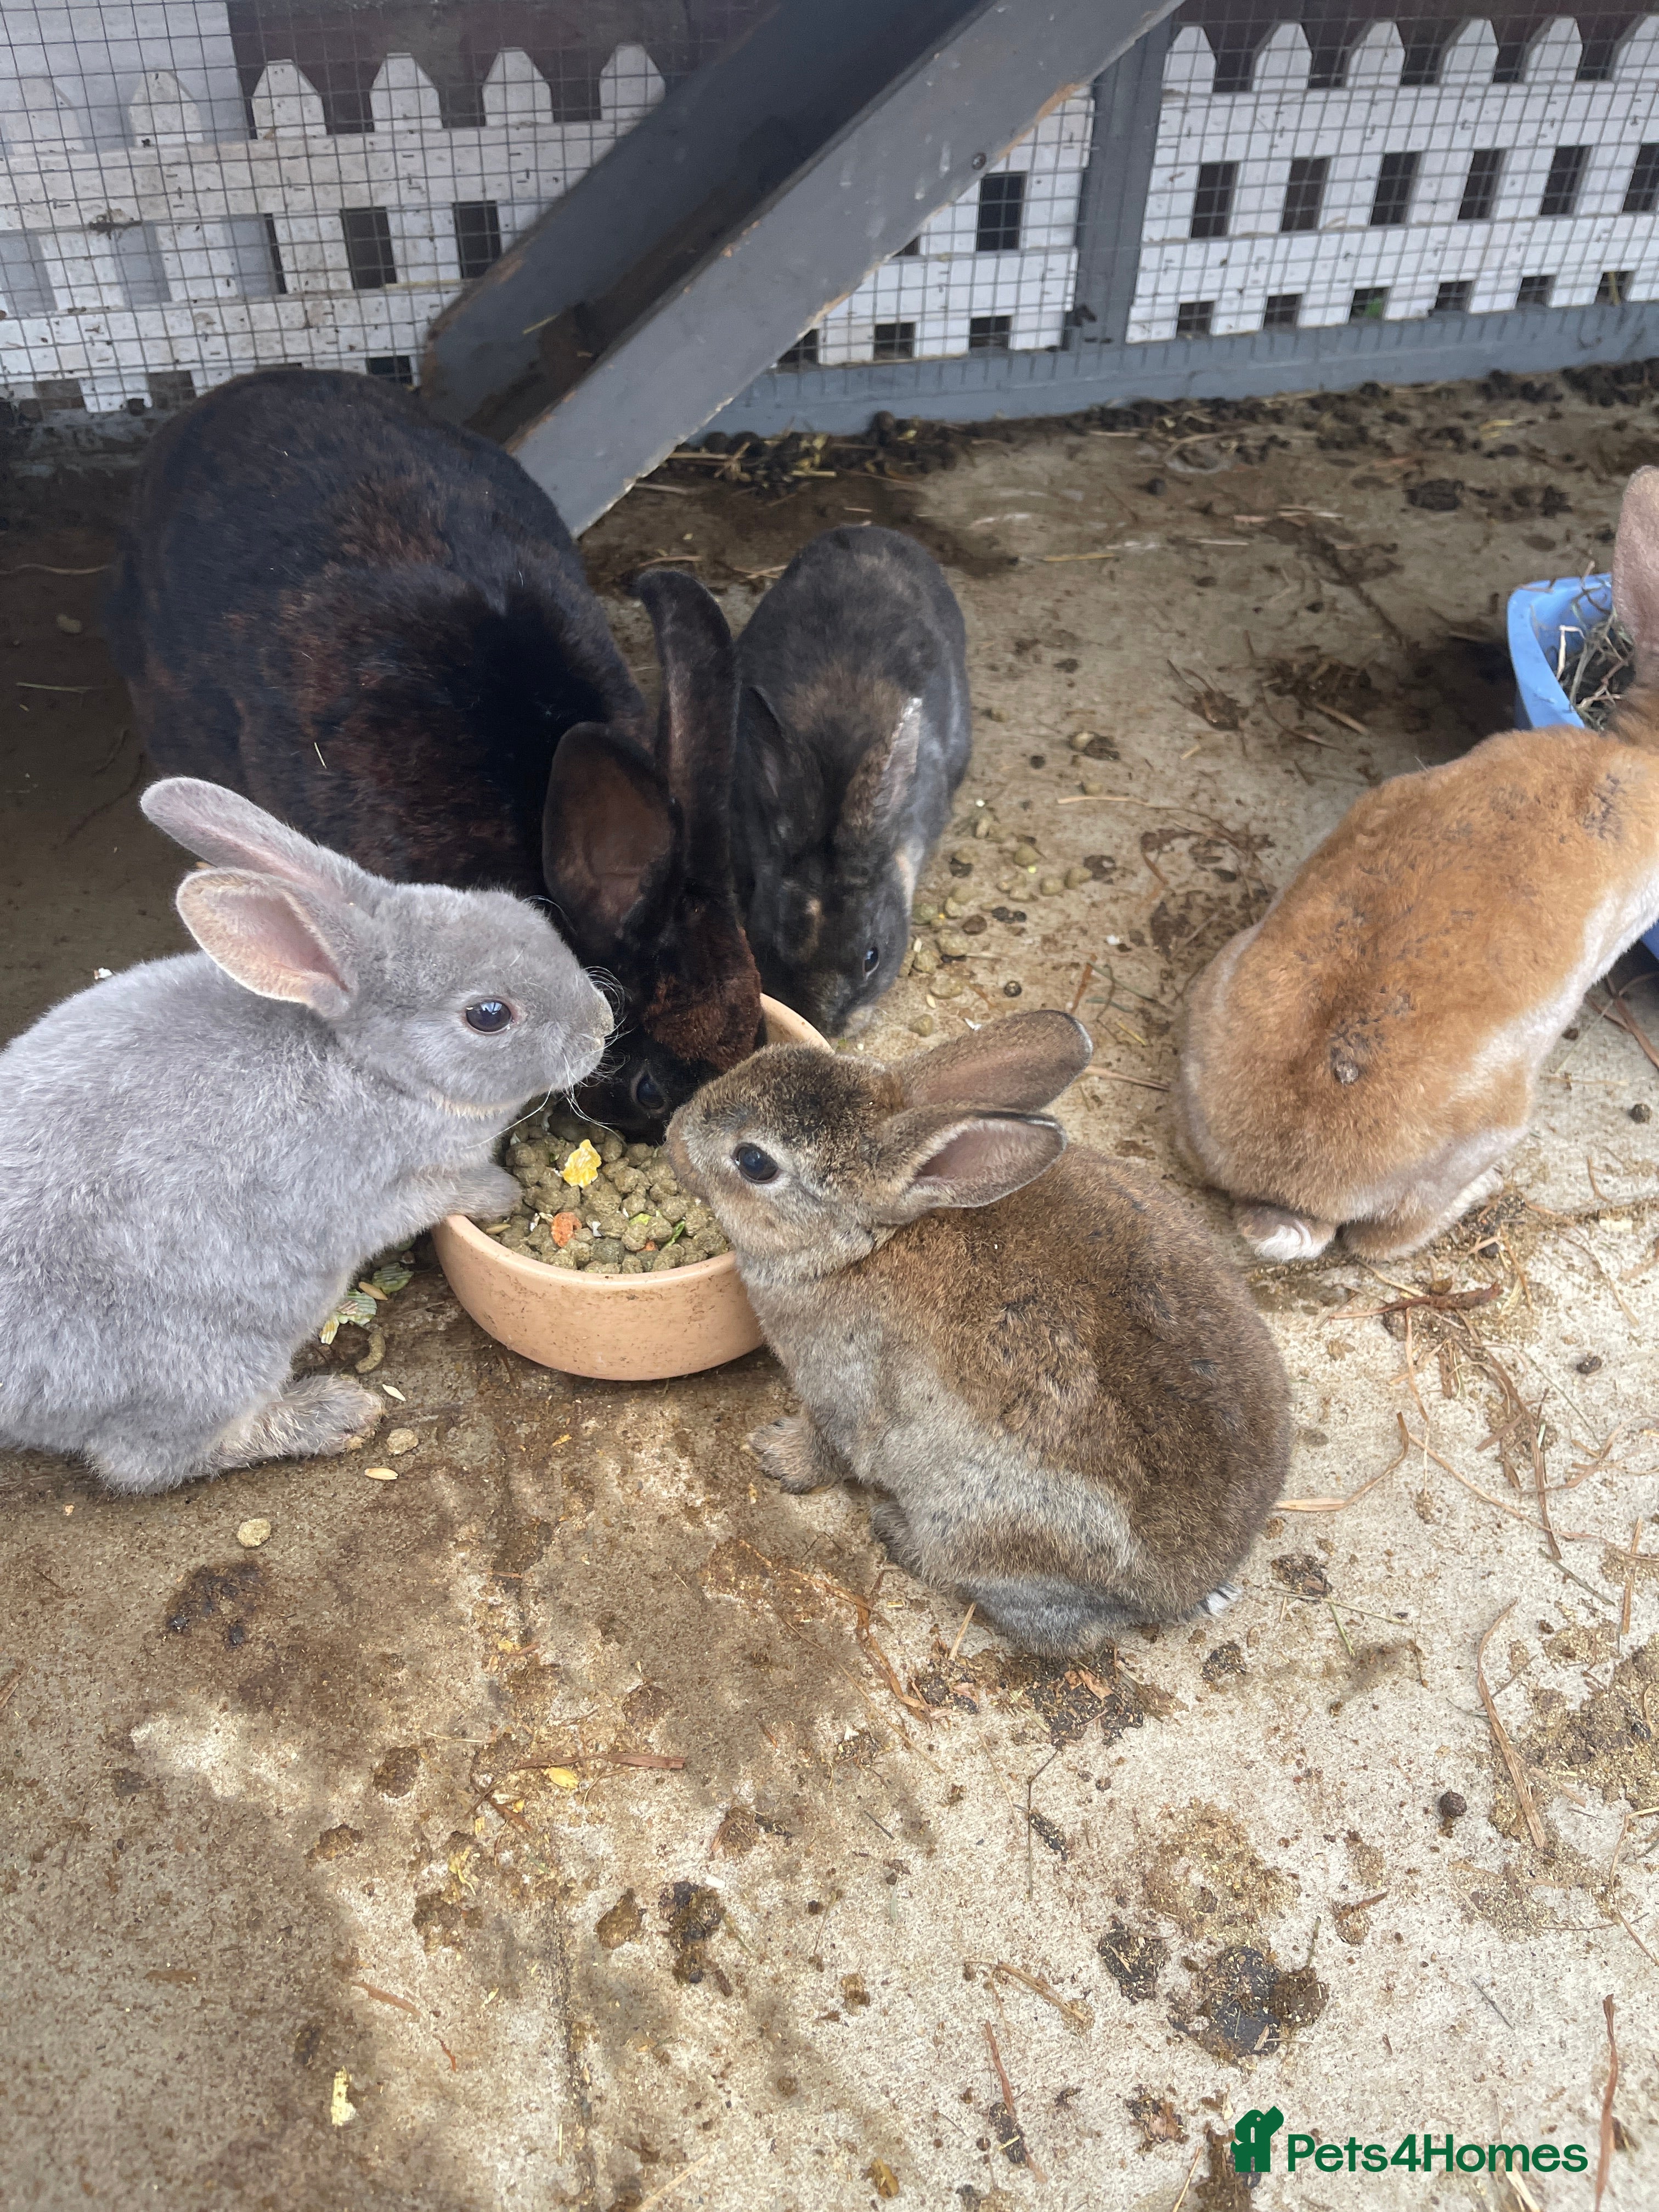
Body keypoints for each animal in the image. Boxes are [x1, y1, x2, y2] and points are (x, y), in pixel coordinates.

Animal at [0, 777, 612, 1497]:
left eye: (523, 911)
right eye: (489, 1016)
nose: (602, 1024)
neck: (372, 1067)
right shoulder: (371, 1194)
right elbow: (436, 1195)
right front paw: (499, 1193)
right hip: (213, 1362)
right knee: (147, 1461)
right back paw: (333, 1415)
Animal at [667, 1011, 1291, 1656]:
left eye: (754, 1162)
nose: (672, 1134)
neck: (869, 1241)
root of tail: (1185, 1589)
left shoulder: (841, 1395)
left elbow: (827, 1447)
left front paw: (776, 1454)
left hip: (985, 1525)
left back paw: (896, 1531)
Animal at [1176, 464, 1659, 1265]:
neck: (1641, 748)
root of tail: (1292, 1195)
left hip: (1220, 980)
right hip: (1492, 1123)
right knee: (1386, 1241)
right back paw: (1482, 1190)